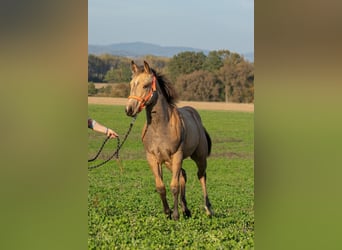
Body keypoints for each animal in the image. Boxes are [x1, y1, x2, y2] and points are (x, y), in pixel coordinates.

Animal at [124, 61, 212, 221]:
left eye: (146, 85)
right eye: (131, 84)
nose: (129, 109)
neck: (161, 127)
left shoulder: (177, 155)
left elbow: (174, 186)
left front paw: (175, 215)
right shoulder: (153, 158)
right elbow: (161, 186)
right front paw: (167, 212)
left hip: (199, 157)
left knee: (201, 176)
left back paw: (208, 209)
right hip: (168, 162)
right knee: (183, 175)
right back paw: (186, 210)